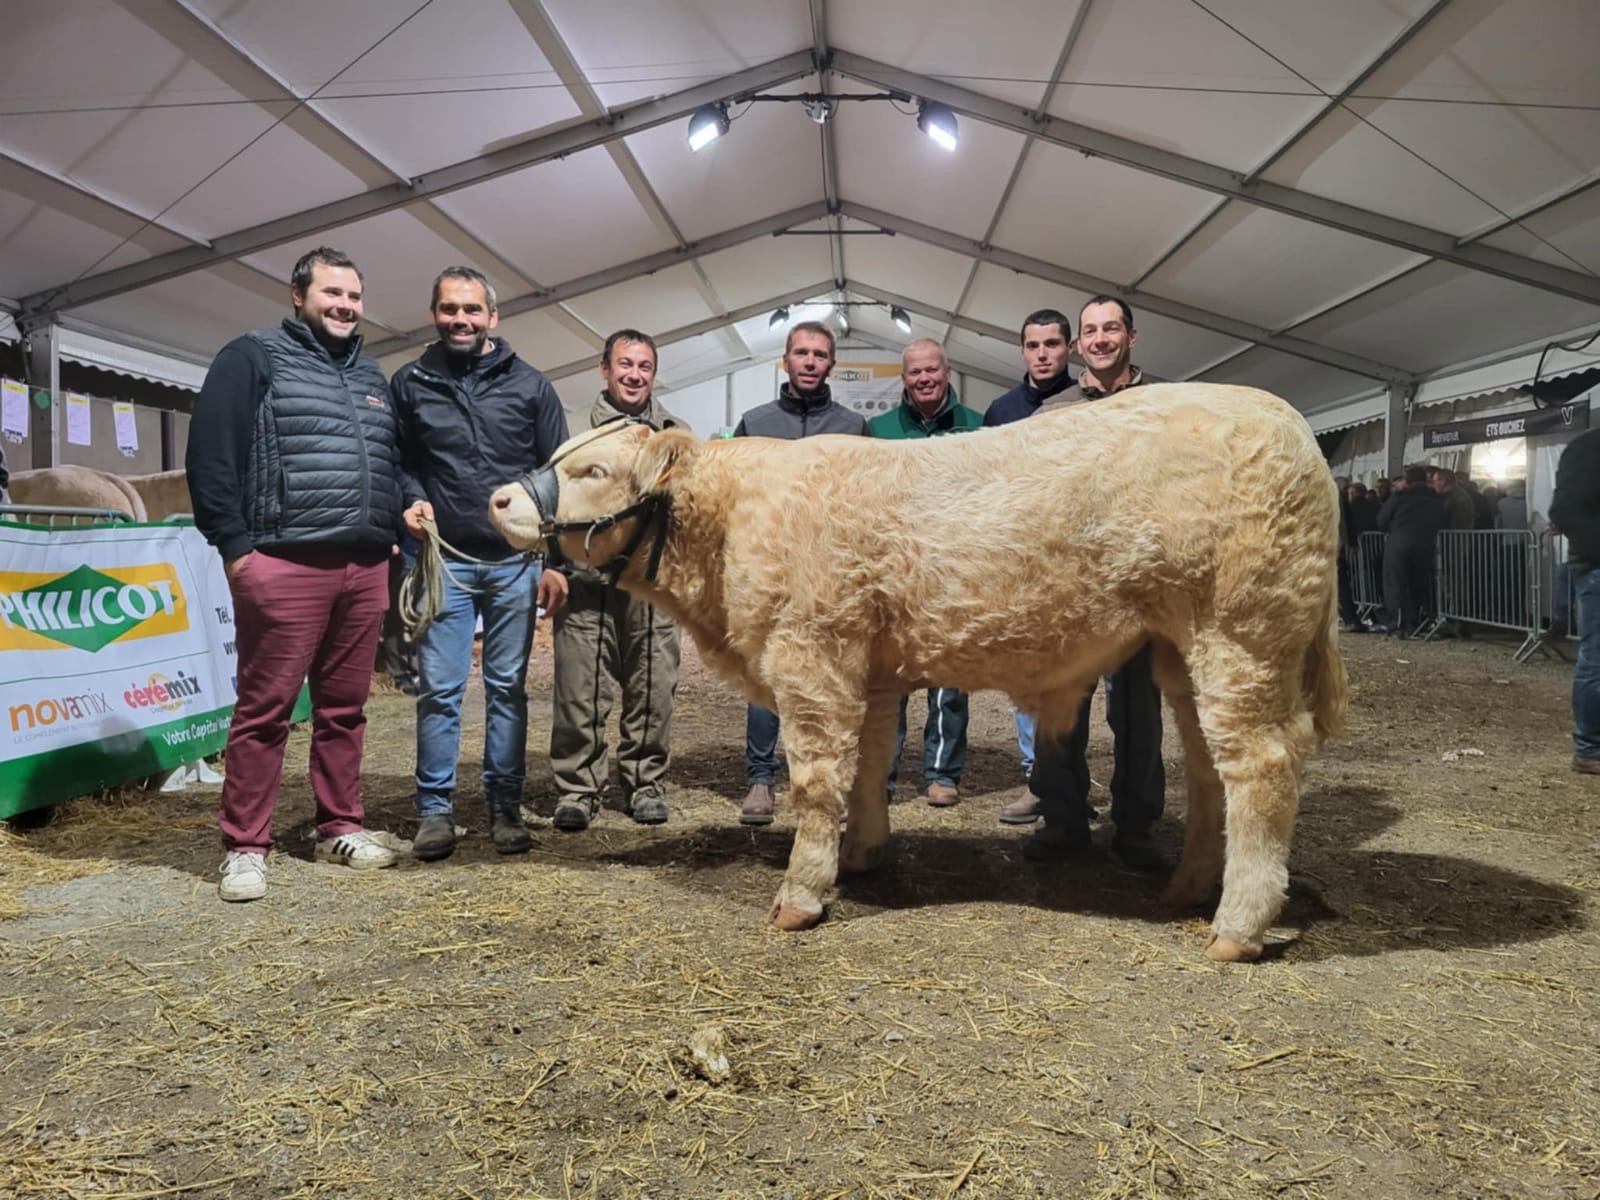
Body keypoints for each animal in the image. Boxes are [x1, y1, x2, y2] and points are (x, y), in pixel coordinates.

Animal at [483, 385, 1337, 966]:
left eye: (592, 467)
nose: (496, 497)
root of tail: (1288, 419)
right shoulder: (868, 670)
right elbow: (864, 766)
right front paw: (862, 855)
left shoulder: (811, 655)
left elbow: (817, 777)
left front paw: (802, 894)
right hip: (1182, 653)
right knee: (1207, 767)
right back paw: (1191, 887)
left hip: (1241, 636)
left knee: (1260, 764)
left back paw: (1237, 926)